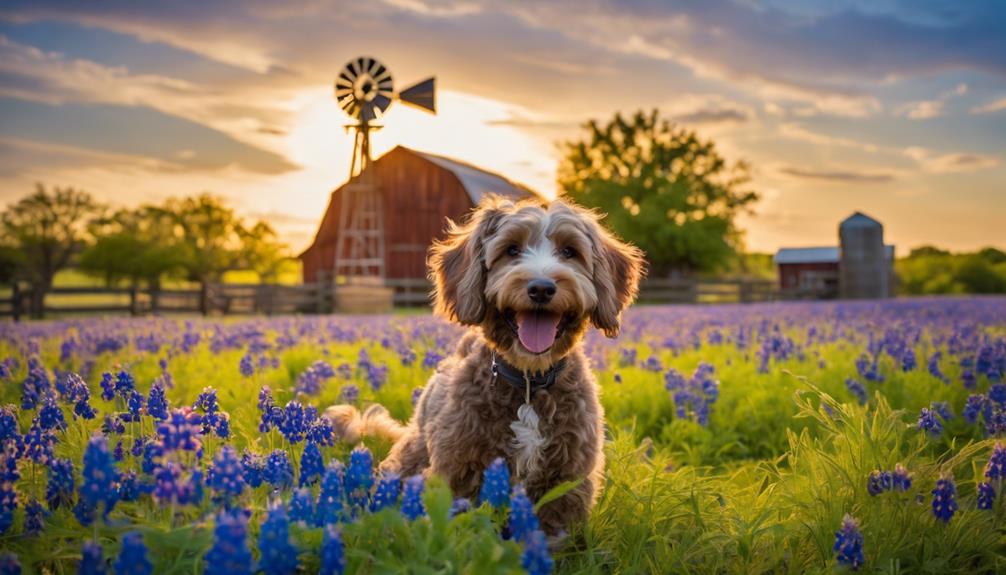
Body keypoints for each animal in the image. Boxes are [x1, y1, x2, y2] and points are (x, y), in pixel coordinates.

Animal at [329, 194, 643, 534]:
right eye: (512, 250)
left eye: (570, 251)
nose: (541, 288)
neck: (529, 380)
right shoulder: (459, 468)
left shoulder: (567, 480)